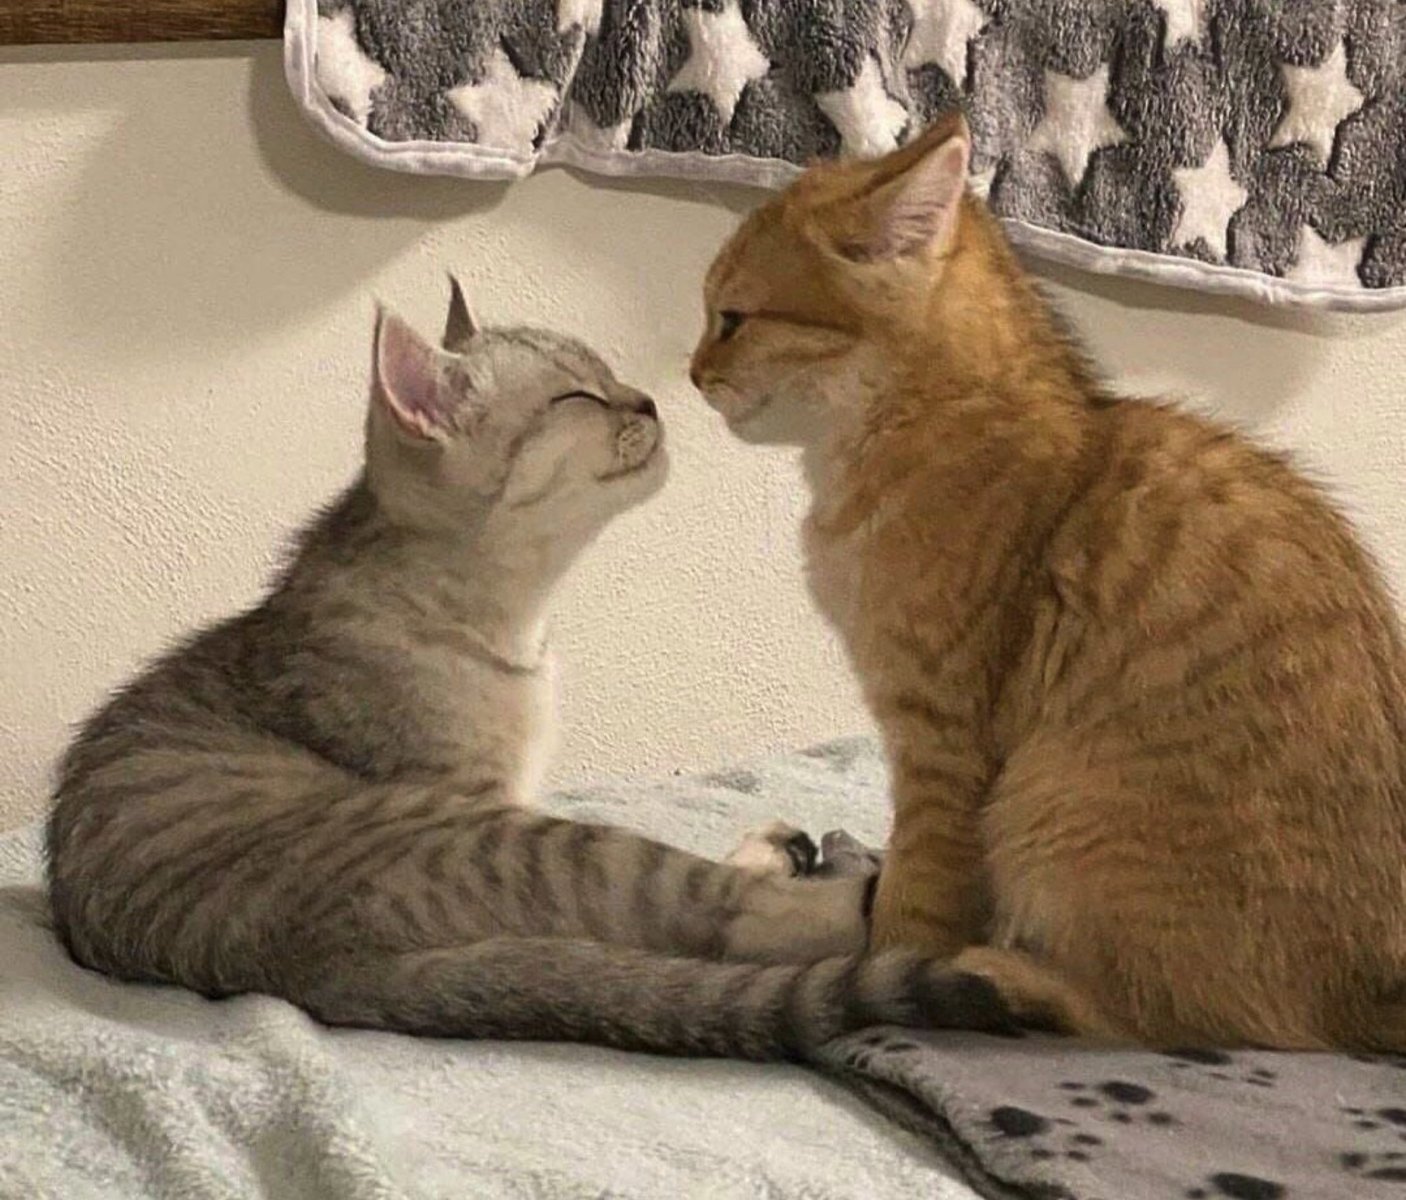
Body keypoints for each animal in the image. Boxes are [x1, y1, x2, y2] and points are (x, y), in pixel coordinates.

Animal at [46, 282, 1012, 1057]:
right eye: (579, 394)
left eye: (611, 369)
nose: (650, 397)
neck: (514, 622)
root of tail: (296, 968)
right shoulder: (484, 789)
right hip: (533, 843)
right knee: (739, 918)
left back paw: (784, 850)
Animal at [688, 112, 1406, 1046]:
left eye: (732, 318)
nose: (692, 373)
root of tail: (1375, 990)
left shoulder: (940, 742)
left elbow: (914, 901)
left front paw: (879, 970)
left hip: (1057, 819)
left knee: (1147, 1016)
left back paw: (1000, 973)